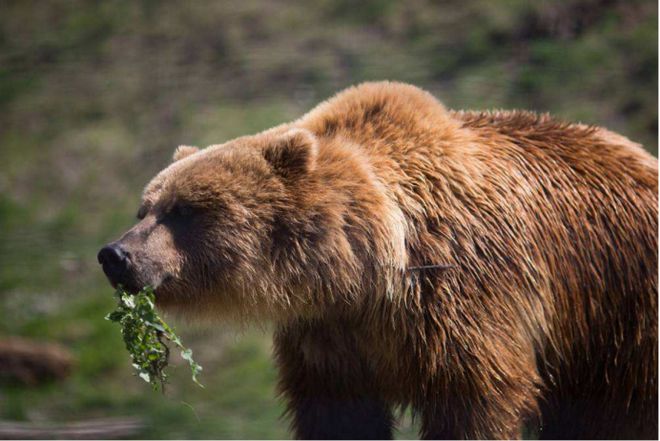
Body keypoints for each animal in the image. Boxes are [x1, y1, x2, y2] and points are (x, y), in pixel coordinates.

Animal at [99, 81, 660, 436]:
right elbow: (340, 416)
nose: (115, 254)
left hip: (619, 315)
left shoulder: (463, 300)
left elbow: (476, 398)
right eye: (145, 208)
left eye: (184, 210)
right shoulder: (330, 339)